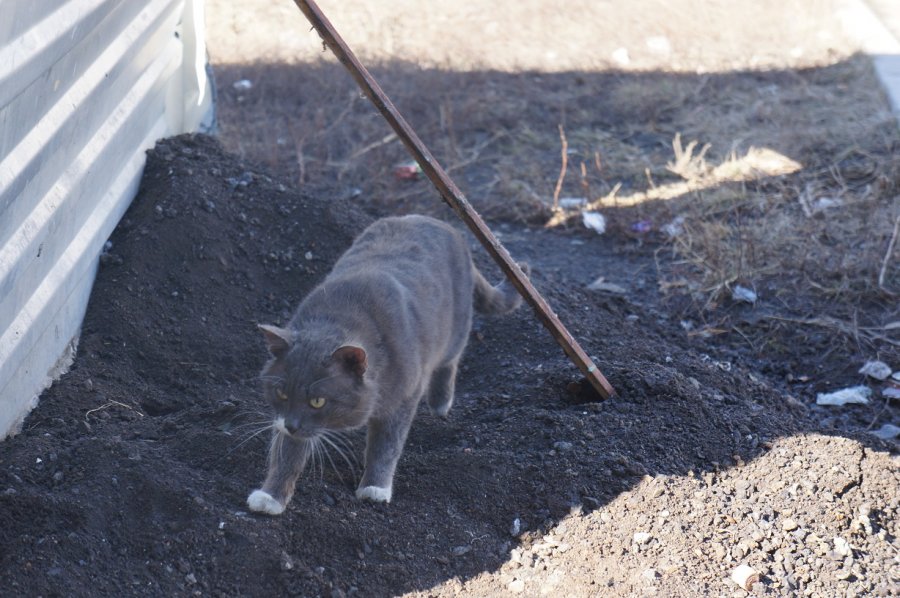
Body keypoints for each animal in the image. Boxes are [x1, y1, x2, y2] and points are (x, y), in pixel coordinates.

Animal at [246, 216, 528, 516]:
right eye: (281, 393)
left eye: (318, 401)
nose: (291, 424)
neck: (337, 320)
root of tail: (444, 224)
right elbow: (288, 452)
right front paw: (270, 497)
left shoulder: (404, 395)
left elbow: (386, 445)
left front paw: (375, 489)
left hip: (456, 327)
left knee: (450, 359)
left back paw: (440, 403)